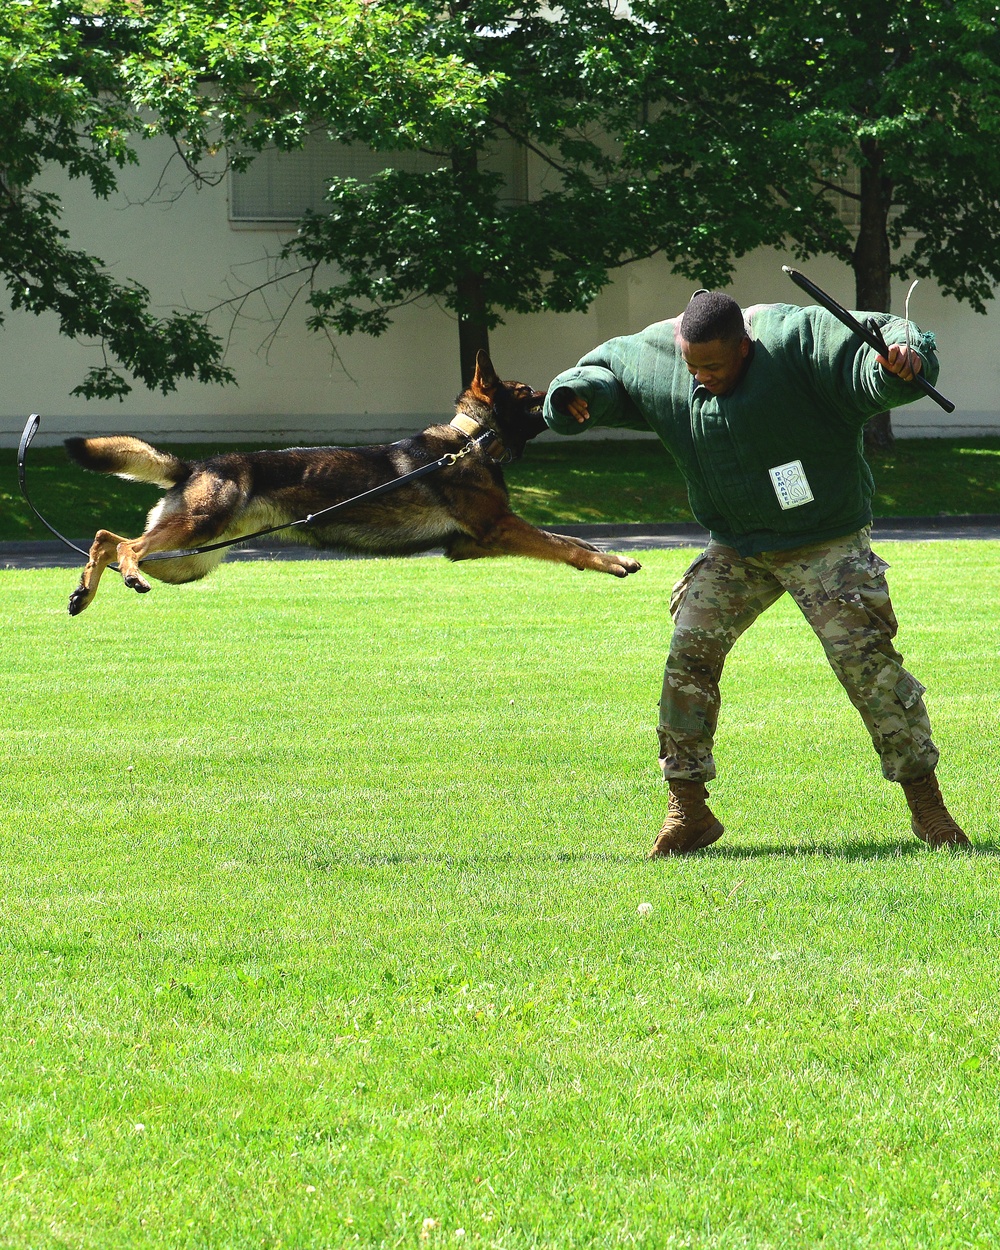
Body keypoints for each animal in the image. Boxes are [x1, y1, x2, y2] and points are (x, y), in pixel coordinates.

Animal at [64, 352, 640, 615]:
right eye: (526, 394)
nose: (564, 390)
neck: (470, 439)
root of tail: (194, 466)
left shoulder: (471, 543)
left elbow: (568, 538)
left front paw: (610, 555)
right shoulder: (498, 527)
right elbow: (564, 543)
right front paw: (611, 561)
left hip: (191, 560)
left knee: (107, 541)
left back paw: (85, 593)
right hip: (195, 532)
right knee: (121, 544)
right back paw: (119, 578)